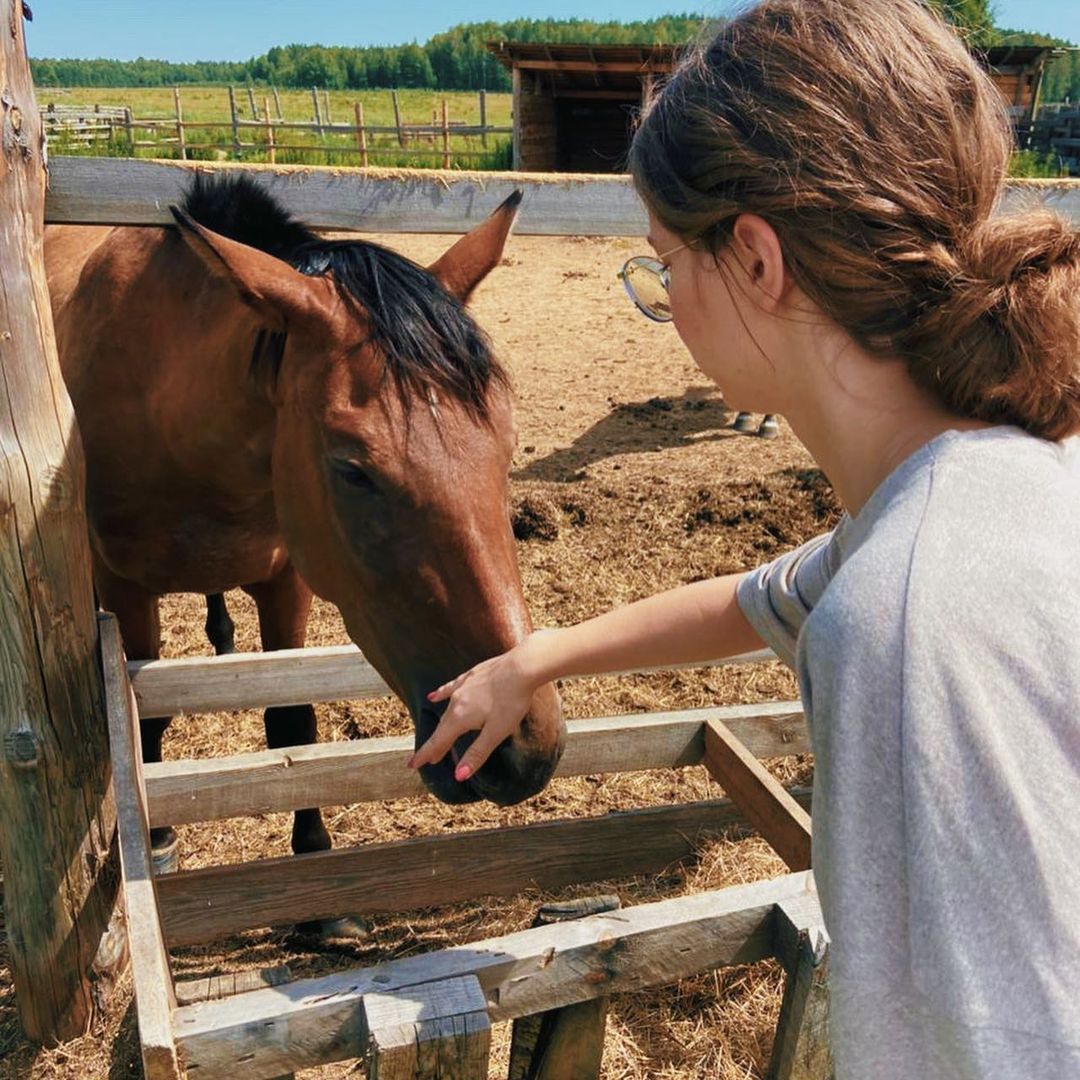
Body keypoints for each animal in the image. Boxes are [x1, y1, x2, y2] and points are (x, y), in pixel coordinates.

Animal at [44, 177, 565, 881]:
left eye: (508, 444)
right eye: (352, 469)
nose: (521, 744)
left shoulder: (287, 581)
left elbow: (292, 722)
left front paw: (313, 858)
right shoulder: (125, 593)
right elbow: (145, 725)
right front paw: (156, 839)